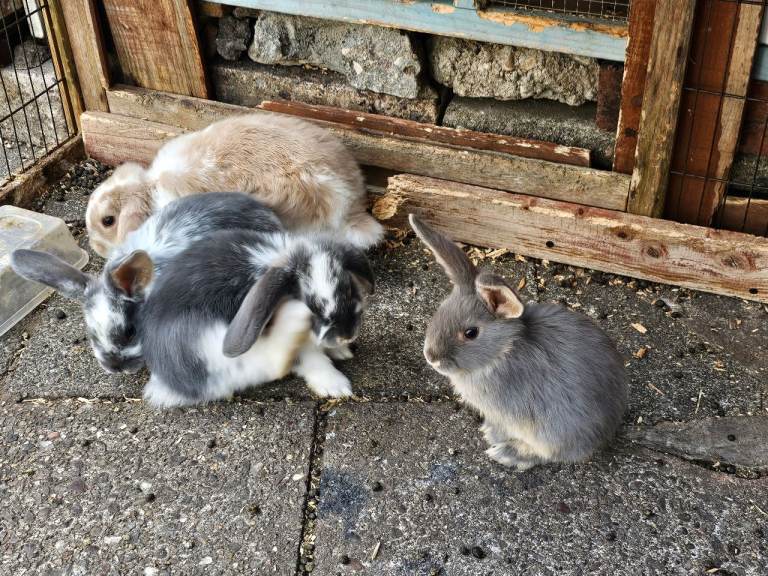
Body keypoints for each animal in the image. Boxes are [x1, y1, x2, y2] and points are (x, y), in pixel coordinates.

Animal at [409, 215, 627, 470]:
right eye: (440, 310)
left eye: (471, 333)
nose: (431, 357)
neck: (503, 352)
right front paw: (489, 431)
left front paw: (492, 436)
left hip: (550, 432)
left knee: (548, 454)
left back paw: (508, 453)